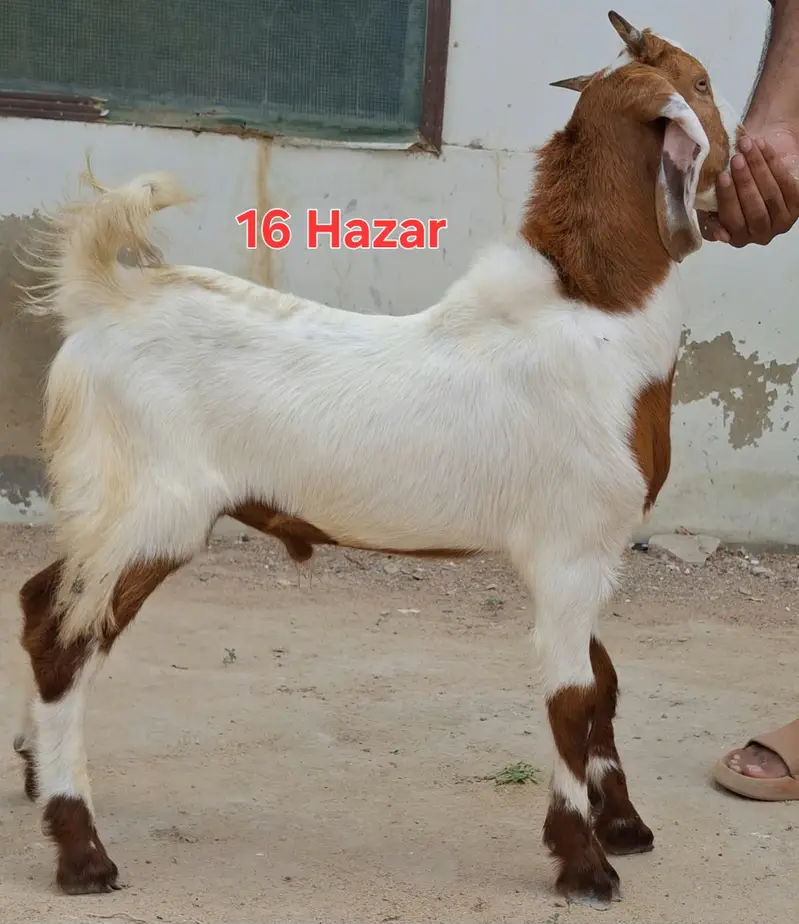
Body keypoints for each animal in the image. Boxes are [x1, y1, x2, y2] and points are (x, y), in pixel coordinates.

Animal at [13, 11, 740, 909]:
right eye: (701, 84)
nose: (736, 161)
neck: (593, 309)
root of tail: (100, 302)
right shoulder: (569, 546)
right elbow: (571, 698)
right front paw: (583, 863)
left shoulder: (592, 551)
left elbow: (601, 681)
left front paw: (623, 824)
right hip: (147, 507)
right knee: (63, 636)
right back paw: (81, 852)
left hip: (113, 511)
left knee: (40, 601)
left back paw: (34, 771)